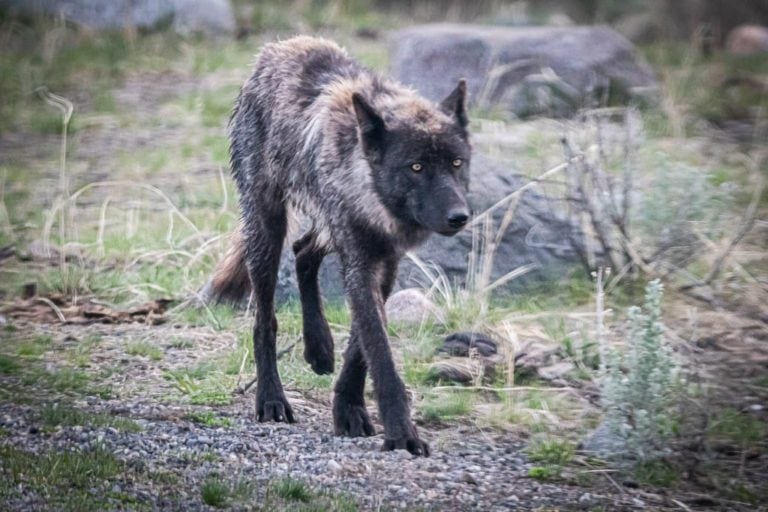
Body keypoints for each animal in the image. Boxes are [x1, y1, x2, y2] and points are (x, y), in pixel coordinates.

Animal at [213, 36, 472, 454]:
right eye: (416, 167)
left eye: (457, 163)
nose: (459, 217)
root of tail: (278, 47)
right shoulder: (359, 263)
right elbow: (379, 352)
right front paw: (402, 433)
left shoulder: (383, 265)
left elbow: (359, 350)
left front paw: (348, 409)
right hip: (266, 232)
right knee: (264, 319)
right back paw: (271, 399)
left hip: (323, 227)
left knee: (303, 252)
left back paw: (319, 348)